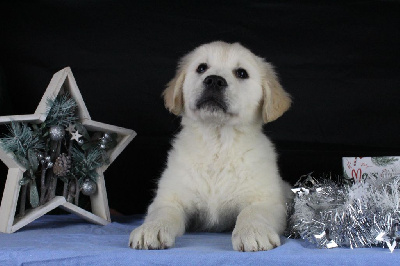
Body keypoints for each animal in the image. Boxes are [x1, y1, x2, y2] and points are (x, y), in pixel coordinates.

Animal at [130, 41, 292, 251]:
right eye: (201, 68)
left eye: (241, 73)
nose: (214, 80)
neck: (218, 143)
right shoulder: (169, 198)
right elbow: (162, 213)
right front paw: (151, 229)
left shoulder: (266, 201)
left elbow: (252, 213)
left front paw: (254, 232)